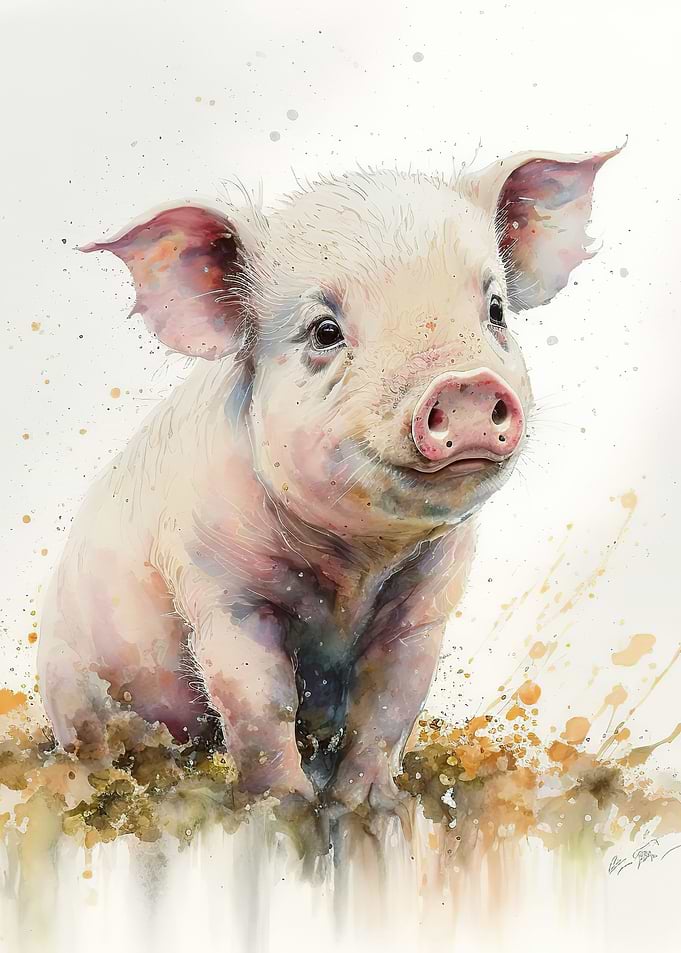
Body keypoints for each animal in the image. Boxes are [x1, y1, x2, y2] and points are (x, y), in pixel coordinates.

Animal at [38, 148, 617, 816]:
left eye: (495, 310)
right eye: (325, 331)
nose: (463, 386)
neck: (356, 566)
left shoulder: (426, 605)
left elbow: (390, 704)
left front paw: (369, 807)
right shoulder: (219, 593)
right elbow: (260, 704)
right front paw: (284, 809)